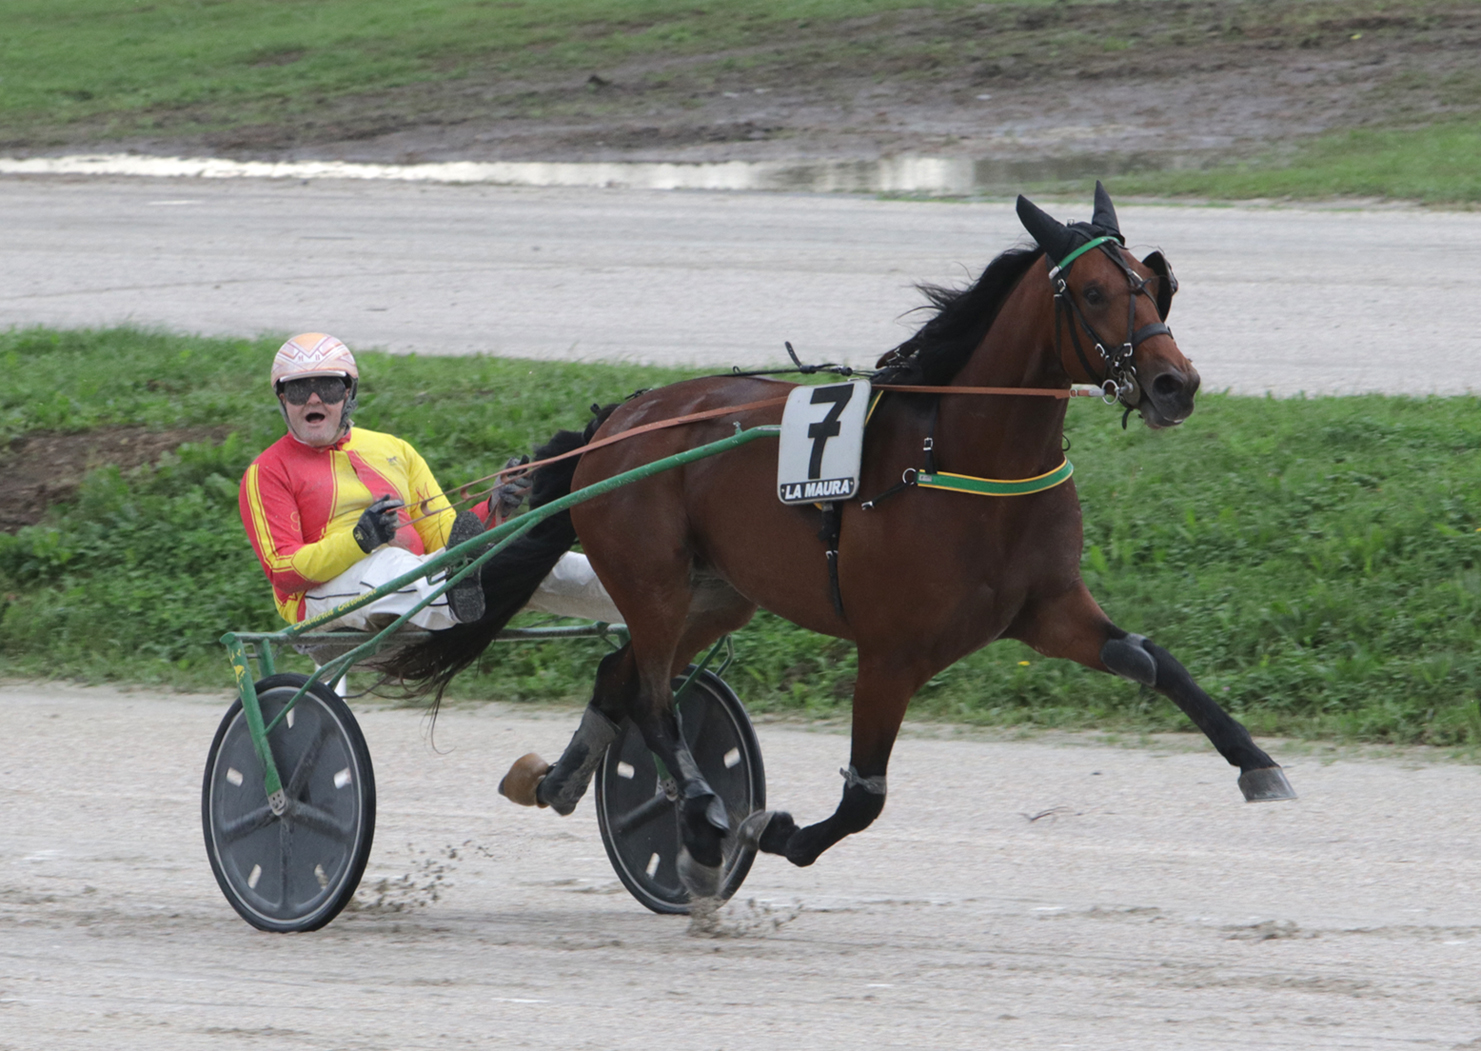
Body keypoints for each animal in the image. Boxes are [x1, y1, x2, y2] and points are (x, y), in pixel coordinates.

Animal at [385, 185, 1297, 900]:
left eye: (1152, 284)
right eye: (1097, 292)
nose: (1174, 384)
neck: (959, 456)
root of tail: (619, 418)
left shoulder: (1044, 610)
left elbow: (1152, 658)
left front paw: (1257, 763)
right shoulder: (890, 651)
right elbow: (864, 795)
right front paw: (774, 830)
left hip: (719, 593)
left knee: (620, 676)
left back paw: (564, 782)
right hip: (651, 581)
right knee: (650, 698)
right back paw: (702, 819)